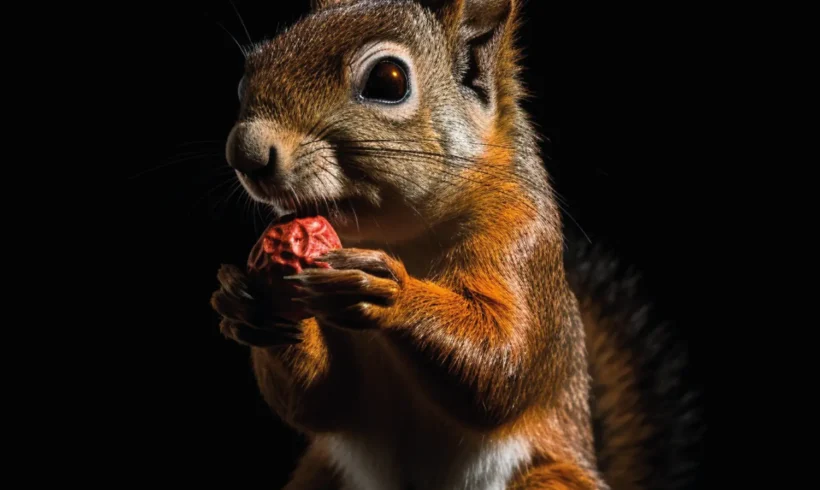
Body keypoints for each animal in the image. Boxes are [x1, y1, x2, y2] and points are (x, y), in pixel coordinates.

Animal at [209, 0, 702, 489]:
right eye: (246, 75)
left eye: (388, 81)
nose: (244, 153)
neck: (399, 236)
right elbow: (321, 400)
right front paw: (248, 302)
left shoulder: (522, 238)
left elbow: (501, 365)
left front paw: (390, 292)